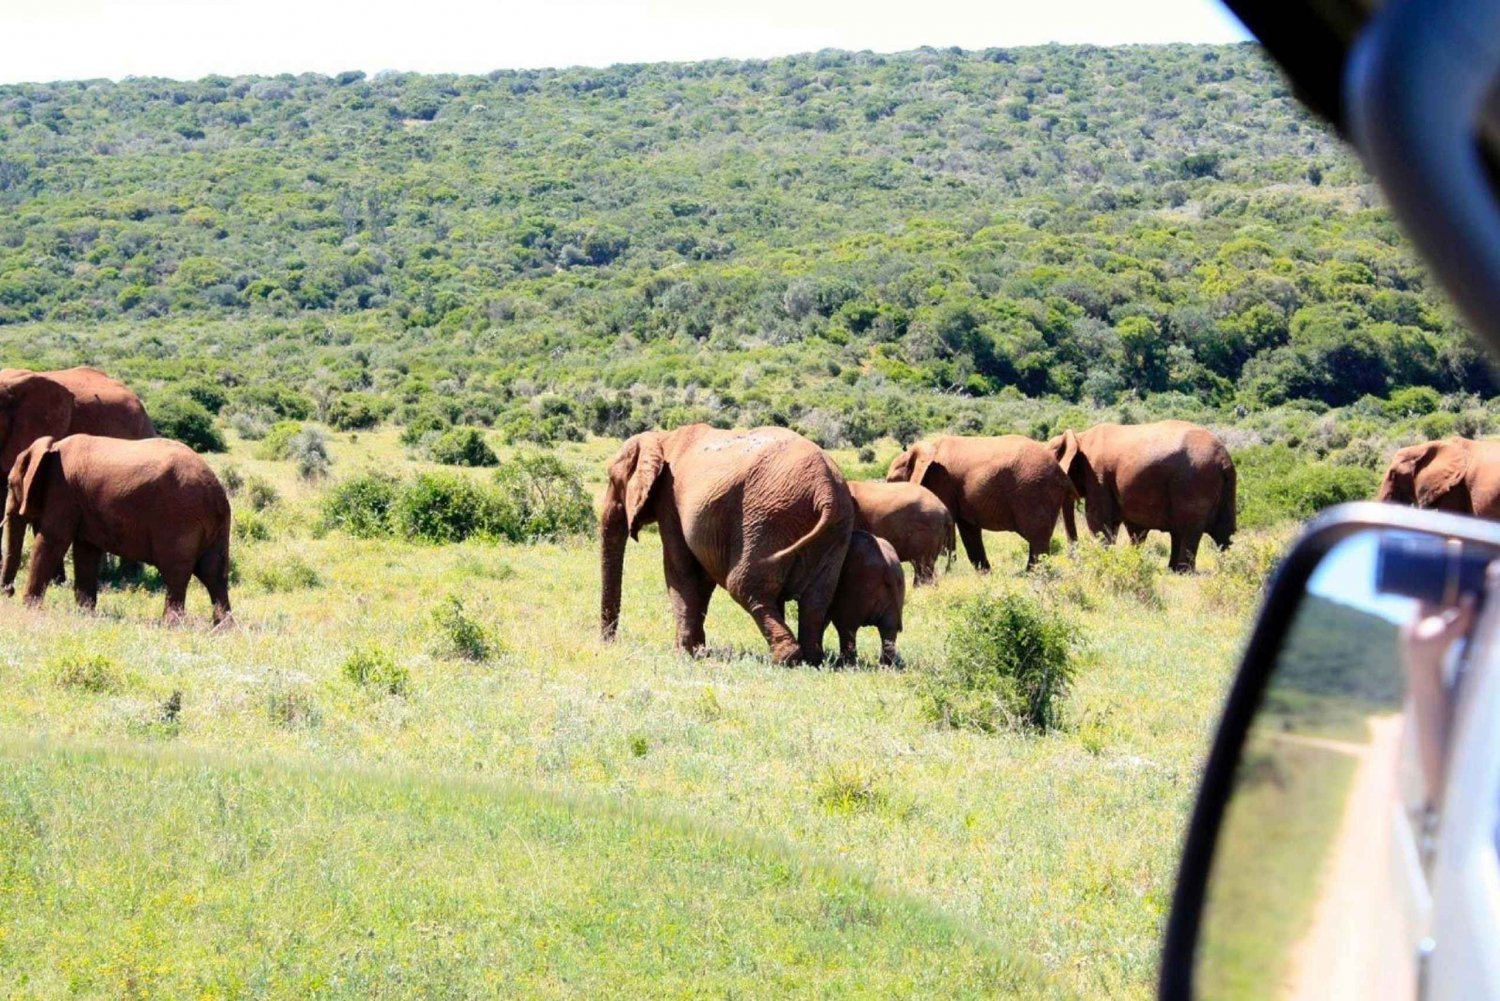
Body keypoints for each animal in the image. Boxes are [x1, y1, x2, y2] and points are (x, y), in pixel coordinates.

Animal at [2, 432, 231, 627]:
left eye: (9, 484)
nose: (8, 592)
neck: (51, 447)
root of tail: (217, 493)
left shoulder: (62, 491)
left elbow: (52, 541)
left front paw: (29, 609)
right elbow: (86, 551)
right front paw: (85, 613)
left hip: (179, 519)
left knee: (176, 572)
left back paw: (171, 625)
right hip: (215, 525)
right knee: (213, 572)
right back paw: (222, 627)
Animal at [597, 423, 858, 666]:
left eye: (612, 480)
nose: (608, 643)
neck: (662, 439)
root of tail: (824, 492)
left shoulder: (669, 501)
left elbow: (680, 570)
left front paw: (684, 655)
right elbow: (701, 578)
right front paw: (699, 651)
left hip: (765, 519)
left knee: (743, 586)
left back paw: (785, 658)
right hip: (835, 530)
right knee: (816, 599)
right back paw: (812, 659)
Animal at [828, 531, 906, 666]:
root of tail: (887, 566)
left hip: (857, 586)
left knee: (846, 627)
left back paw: (845, 665)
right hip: (897, 582)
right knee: (889, 627)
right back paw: (885, 666)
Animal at [876, 435, 1080, 570]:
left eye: (891, 480)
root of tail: (1060, 472)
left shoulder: (941, 481)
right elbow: (968, 529)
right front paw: (984, 573)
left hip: (1034, 491)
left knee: (1037, 537)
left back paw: (1033, 574)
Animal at [1050, 420, 1236, 570]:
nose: (1073, 559)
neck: (1079, 437)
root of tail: (1224, 460)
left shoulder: (1097, 476)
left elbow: (1097, 520)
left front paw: (1102, 562)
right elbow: (1128, 526)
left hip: (1193, 482)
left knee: (1188, 528)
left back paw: (1183, 572)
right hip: (1223, 487)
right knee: (1223, 531)